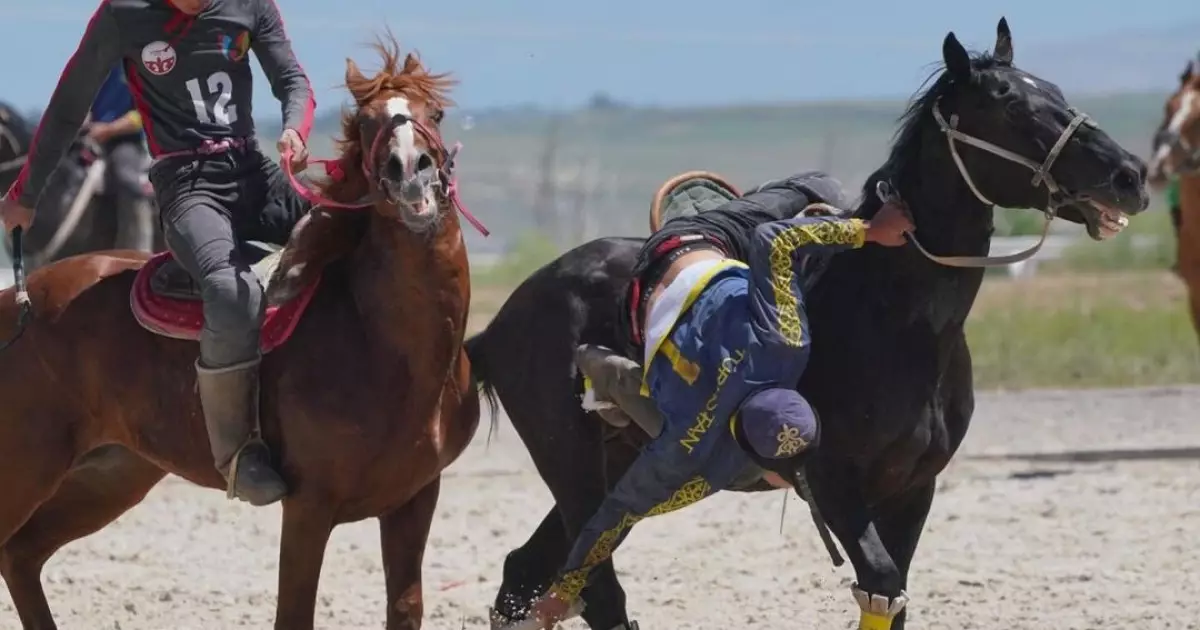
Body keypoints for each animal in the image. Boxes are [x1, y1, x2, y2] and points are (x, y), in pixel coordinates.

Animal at [0, 39, 477, 628]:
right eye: (367, 121)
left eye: (435, 114)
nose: (410, 168)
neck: (392, 347)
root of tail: (15, 302)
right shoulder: (309, 507)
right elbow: (293, 612)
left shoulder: (415, 499)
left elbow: (405, 607)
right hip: (27, 465)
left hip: (110, 474)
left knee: (22, 554)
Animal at [463, 18, 1147, 628]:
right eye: (1010, 106)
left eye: (1055, 91)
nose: (1130, 175)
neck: (889, 315)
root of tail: (500, 324)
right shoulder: (834, 484)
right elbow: (880, 582)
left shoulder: (912, 489)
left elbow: (894, 594)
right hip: (575, 469)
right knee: (594, 589)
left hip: (617, 466)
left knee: (527, 574)